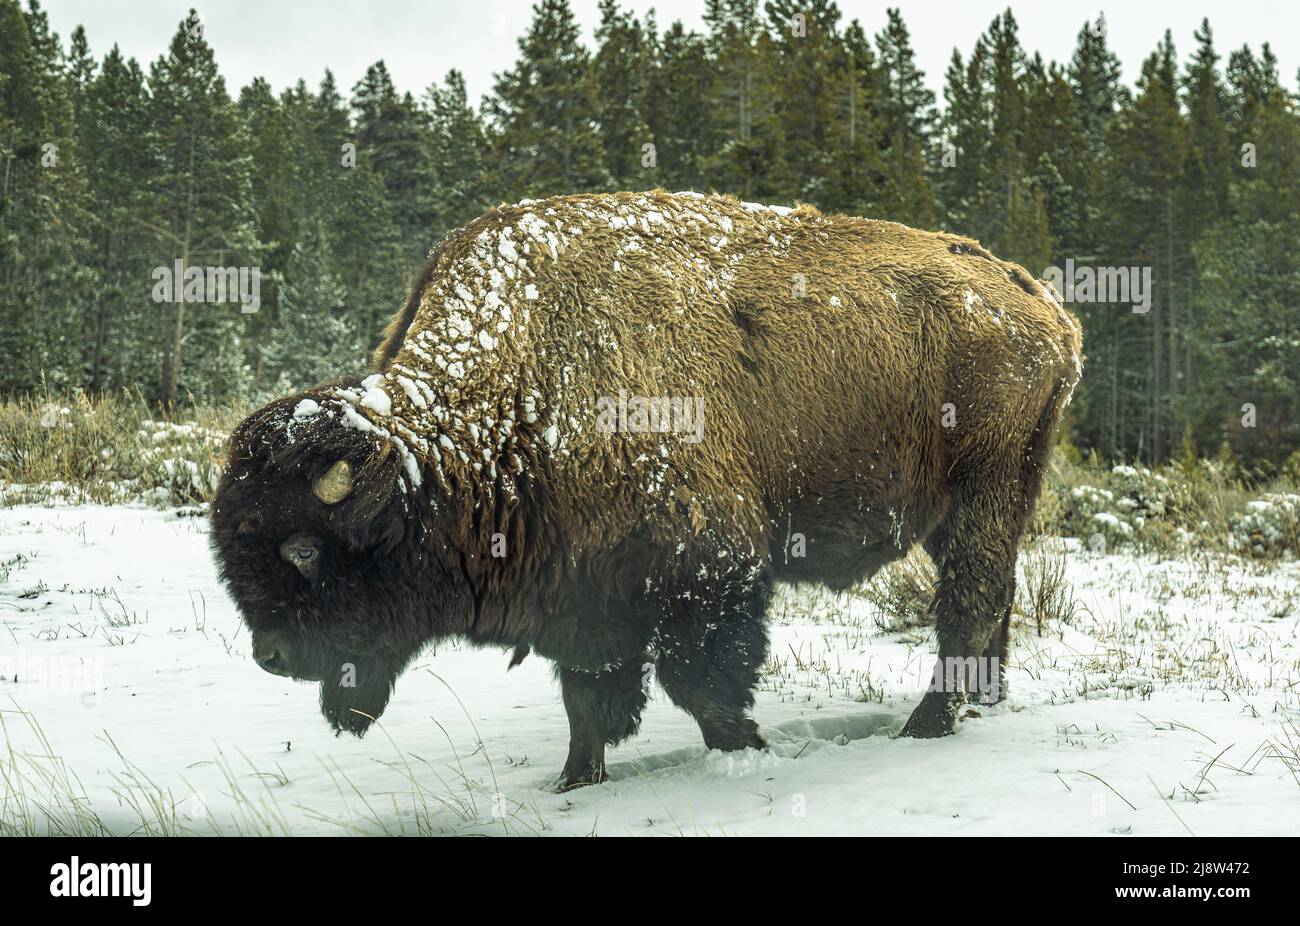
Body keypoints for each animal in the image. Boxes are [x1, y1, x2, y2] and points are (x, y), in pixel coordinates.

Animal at [210, 188, 1086, 790]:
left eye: (305, 550)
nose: (272, 657)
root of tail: (1040, 306)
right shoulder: (583, 593)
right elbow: (587, 700)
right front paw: (574, 782)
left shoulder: (708, 568)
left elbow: (696, 683)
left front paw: (749, 749)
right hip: (973, 506)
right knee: (991, 597)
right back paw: (976, 708)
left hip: (983, 491)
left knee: (971, 600)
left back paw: (924, 728)